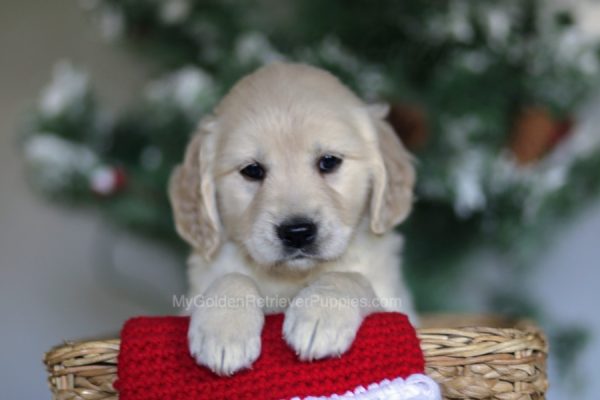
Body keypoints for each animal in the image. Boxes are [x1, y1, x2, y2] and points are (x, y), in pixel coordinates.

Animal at [168, 61, 412, 376]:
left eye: (329, 161)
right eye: (252, 170)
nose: (297, 232)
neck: (292, 278)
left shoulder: (397, 306)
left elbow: (348, 276)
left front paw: (321, 314)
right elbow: (231, 277)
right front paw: (224, 329)